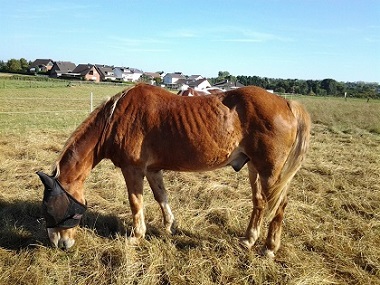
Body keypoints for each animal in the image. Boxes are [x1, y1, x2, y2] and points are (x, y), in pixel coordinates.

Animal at [35, 83, 310, 256]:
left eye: (50, 207)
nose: (59, 244)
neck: (116, 119)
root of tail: (287, 104)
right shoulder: (153, 170)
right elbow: (161, 197)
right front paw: (169, 227)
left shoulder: (133, 169)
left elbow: (136, 202)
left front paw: (137, 236)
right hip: (255, 168)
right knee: (260, 203)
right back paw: (249, 240)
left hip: (270, 172)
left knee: (278, 205)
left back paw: (269, 248)